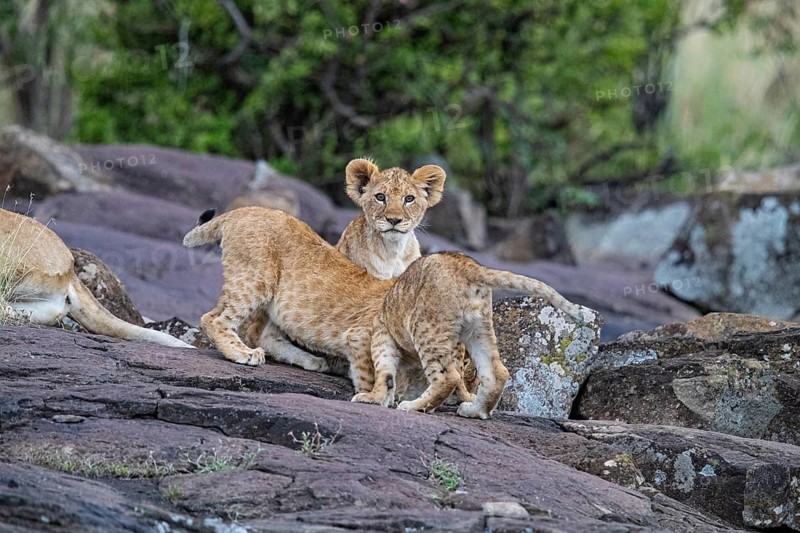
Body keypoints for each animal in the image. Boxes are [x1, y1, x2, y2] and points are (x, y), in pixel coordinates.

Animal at [183, 206, 585, 418]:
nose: (469, 390)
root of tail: (241, 211)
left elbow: (387, 374)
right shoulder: (365, 335)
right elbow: (375, 373)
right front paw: (377, 396)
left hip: (478, 327)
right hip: (255, 279)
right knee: (216, 319)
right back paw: (242, 354)